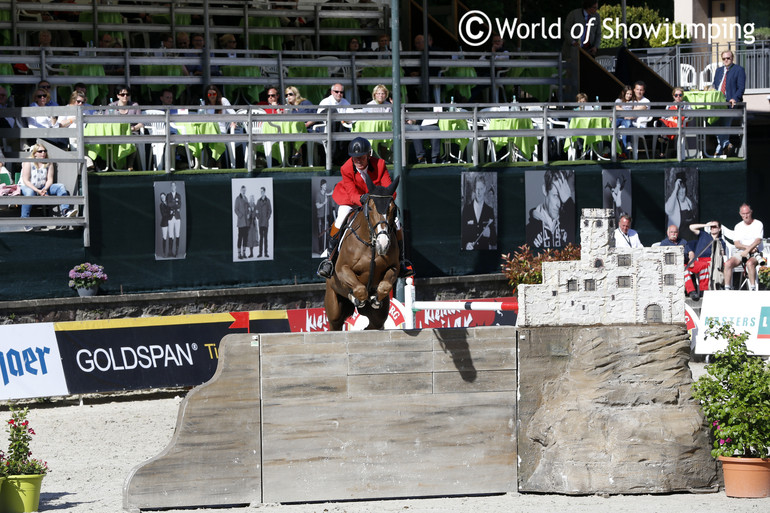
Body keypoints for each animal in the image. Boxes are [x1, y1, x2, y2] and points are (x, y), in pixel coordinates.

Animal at [322, 174, 400, 330]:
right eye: (370, 208)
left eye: (393, 209)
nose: (383, 244)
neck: (371, 245)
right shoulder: (342, 269)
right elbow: (360, 289)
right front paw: (356, 297)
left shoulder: (394, 267)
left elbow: (385, 286)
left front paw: (375, 298)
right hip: (334, 307)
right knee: (335, 322)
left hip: (378, 318)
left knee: (374, 324)